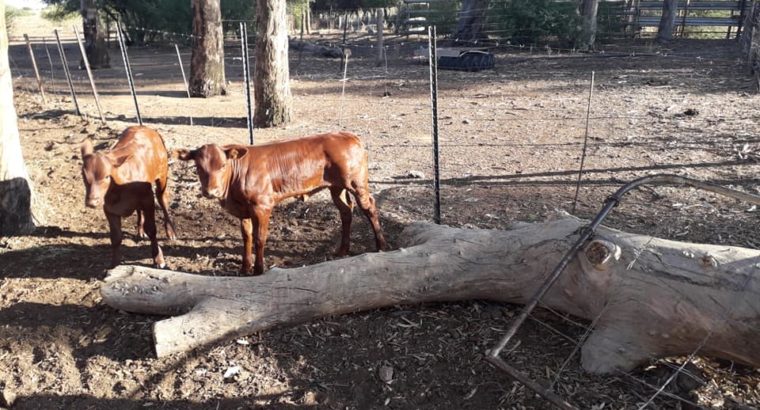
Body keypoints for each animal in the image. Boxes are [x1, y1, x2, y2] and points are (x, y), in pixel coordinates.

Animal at [80, 126, 177, 269]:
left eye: (107, 176)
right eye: (84, 175)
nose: (91, 202)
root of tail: (144, 127)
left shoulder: (148, 199)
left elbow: (152, 229)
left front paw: (158, 258)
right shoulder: (109, 209)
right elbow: (115, 237)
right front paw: (114, 263)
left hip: (162, 175)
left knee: (162, 200)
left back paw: (170, 231)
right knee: (139, 210)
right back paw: (140, 230)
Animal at [174, 132, 387, 275]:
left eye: (223, 165)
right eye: (198, 167)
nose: (212, 192)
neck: (231, 193)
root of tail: (348, 135)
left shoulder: (262, 206)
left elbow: (259, 238)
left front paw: (259, 270)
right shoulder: (244, 210)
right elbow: (246, 237)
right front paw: (244, 268)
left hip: (356, 183)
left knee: (370, 208)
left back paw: (381, 246)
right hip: (336, 187)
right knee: (346, 212)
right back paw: (343, 250)